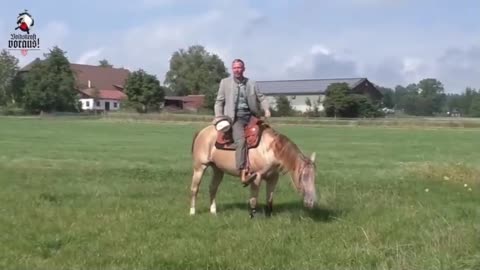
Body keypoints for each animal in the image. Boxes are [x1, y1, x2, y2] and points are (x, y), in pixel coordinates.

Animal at [188, 117, 318, 218]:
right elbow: (254, 198)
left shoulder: (273, 178)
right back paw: (192, 212)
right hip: (200, 167)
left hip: (218, 169)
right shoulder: (256, 177)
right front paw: (252, 215)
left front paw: (269, 214)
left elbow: (269, 198)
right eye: (303, 177)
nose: (311, 202)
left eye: (314, 177)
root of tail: (201, 132)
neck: (269, 148)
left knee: (213, 188)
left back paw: (213, 211)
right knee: (194, 189)